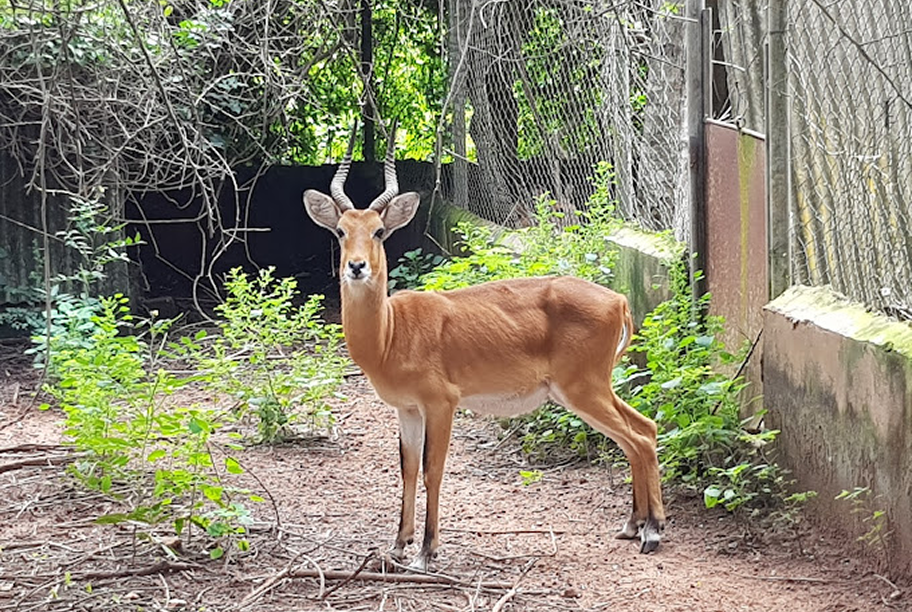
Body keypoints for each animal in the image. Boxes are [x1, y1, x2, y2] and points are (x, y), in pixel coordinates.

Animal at [303, 122, 665, 571]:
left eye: (379, 231)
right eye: (340, 231)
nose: (356, 266)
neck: (391, 334)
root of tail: (619, 301)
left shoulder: (441, 403)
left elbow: (432, 469)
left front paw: (426, 552)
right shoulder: (407, 408)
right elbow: (407, 469)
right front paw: (398, 545)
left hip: (584, 389)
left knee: (641, 436)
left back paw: (653, 532)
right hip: (588, 390)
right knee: (641, 431)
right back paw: (634, 526)